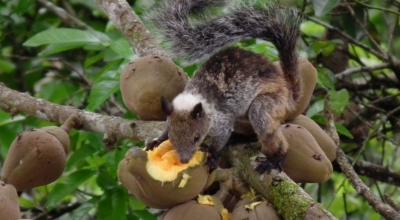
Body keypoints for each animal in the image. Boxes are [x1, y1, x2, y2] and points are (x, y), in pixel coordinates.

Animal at [148, 0, 302, 168]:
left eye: (196, 137)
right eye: (172, 136)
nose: (184, 160)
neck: (196, 96)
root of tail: (288, 90)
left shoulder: (221, 119)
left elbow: (221, 137)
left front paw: (213, 155)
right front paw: (158, 140)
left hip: (269, 104)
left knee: (266, 127)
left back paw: (275, 159)